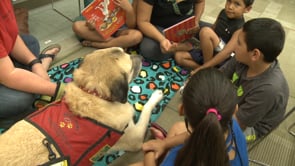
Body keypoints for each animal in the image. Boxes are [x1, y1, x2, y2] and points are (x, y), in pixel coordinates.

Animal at [0, 47, 163, 165]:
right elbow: (146, 111)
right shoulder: (135, 138)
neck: (93, 93)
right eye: (130, 64)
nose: (141, 57)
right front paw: (157, 95)